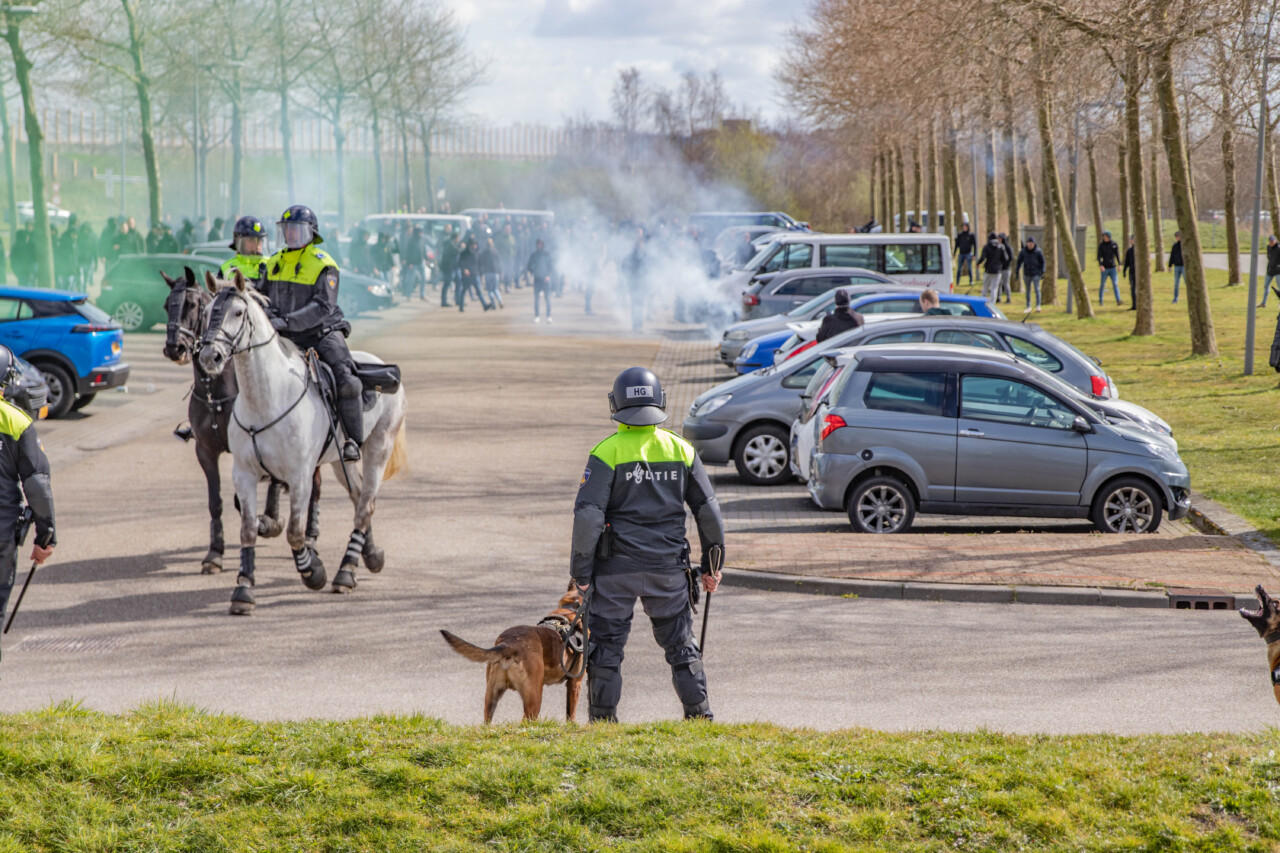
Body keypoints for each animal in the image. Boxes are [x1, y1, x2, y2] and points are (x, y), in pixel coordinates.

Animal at [161, 266, 311, 571]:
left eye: (192, 305)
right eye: (166, 306)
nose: (175, 348)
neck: (216, 391)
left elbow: (249, 500)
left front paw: (269, 523)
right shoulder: (205, 450)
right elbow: (216, 502)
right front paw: (214, 553)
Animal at [197, 272, 407, 612]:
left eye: (238, 313)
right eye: (205, 313)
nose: (209, 356)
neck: (267, 399)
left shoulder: (299, 476)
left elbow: (295, 533)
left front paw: (314, 572)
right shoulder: (244, 473)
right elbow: (248, 530)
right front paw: (243, 588)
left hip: (379, 448)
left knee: (365, 506)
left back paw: (345, 572)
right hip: (339, 462)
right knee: (359, 497)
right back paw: (369, 556)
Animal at [437, 584, 583, 717]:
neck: (570, 611)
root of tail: (510, 644)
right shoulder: (575, 683)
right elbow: (571, 715)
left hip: (491, 696)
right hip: (534, 699)